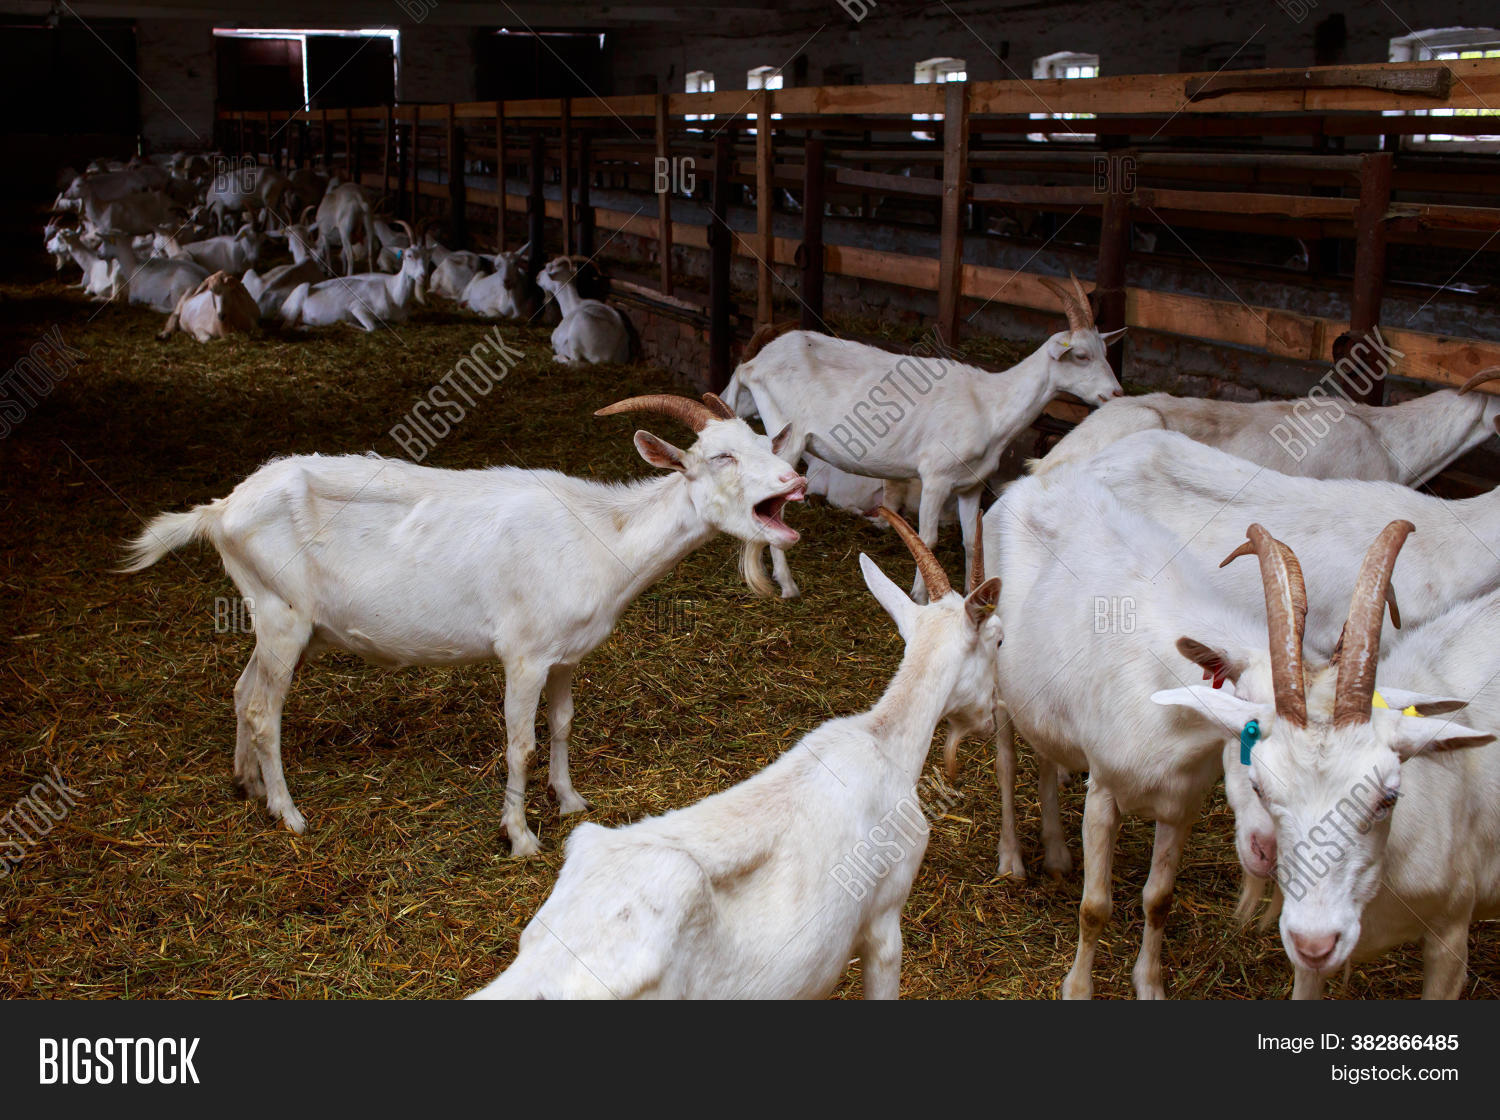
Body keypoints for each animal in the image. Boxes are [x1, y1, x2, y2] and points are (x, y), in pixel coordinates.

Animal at [120, 394, 807, 854]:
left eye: (764, 444)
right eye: (721, 456)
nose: (796, 481)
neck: (600, 533)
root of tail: (222, 509)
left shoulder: (566, 655)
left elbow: (562, 725)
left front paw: (570, 801)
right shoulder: (524, 654)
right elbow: (520, 742)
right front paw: (521, 836)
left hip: (282, 622)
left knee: (243, 692)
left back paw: (249, 785)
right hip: (281, 614)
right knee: (265, 709)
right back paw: (289, 814)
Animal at [724, 275, 1123, 601]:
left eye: (1105, 352)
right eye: (1081, 355)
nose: (1116, 393)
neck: (990, 404)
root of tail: (754, 364)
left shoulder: (971, 484)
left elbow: (970, 540)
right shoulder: (936, 476)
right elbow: (927, 539)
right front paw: (921, 594)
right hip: (786, 432)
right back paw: (788, 584)